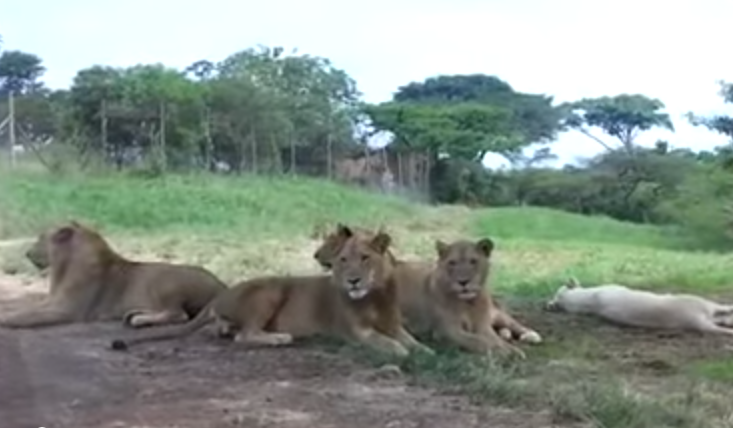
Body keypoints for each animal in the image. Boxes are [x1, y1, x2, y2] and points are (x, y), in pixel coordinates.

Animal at [0, 221, 228, 329]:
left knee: (179, 314)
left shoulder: (67, 310)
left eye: (40, 238)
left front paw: (6, 319)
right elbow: (28, 310)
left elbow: (27, 317)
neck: (62, 268)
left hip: (164, 282)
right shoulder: (52, 302)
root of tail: (222, 285)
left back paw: (139, 321)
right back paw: (133, 315)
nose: (27, 253)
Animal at [109, 225, 433, 358]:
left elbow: (416, 344)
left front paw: (428, 351)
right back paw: (280, 338)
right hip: (270, 291)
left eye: (365, 258)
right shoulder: (357, 333)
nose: (353, 281)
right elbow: (390, 345)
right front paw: (402, 352)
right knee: (244, 336)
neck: (376, 295)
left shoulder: (397, 326)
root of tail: (220, 296)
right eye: (343, 260)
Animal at [312, 226, 541, 351]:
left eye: (473, 262)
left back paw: (529, 335)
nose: (315, 255)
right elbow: (478, 341)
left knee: (512, 323)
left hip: (498, 314)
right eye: (452, 263)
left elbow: (487, 339)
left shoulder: (480, 326)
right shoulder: (447, 330)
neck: (468, 302)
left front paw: (510, 350)